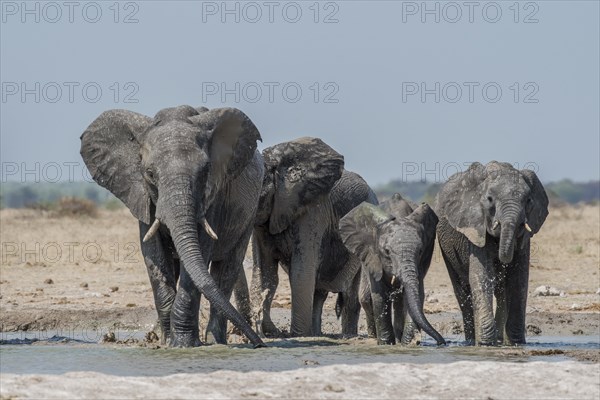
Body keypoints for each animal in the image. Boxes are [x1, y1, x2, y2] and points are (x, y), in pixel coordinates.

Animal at [79, 104, 264, 348]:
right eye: (149, 173)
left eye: (205, 172)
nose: (259, 343)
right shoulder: (143, 197)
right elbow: (153, 254)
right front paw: (167, 343)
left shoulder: (213, 195)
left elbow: (200, 253)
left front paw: (183, 345)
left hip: (249, 214)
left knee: (226, 269)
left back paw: (216, 342)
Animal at [251, 138, 378, 338]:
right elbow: (266, 272)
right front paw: (281, 333)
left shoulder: (313, 212)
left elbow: (301, 272)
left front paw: (297, 336)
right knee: (319, 292)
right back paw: (317, 334)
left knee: (350, 293)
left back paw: (347, 336)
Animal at [338, 195, 446, 346]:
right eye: (387, 251)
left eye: (420, 251)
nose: (441, 342)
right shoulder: (373, 255)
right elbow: (379, 295)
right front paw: (386, 344)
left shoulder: (424, 257)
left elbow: (417, 293)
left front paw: (407, 344)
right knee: (366, 298)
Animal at [434, 161, 552, 346]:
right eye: (489, 199)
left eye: (528, 200)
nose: (501, 258)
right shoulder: (475, 226)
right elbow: (482, 275)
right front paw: (485, 344)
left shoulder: (525, 236)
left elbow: (519, 280)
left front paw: (516, 343)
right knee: (462, 290)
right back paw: (471, 342)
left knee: (501, 290)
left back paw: (499, 340)